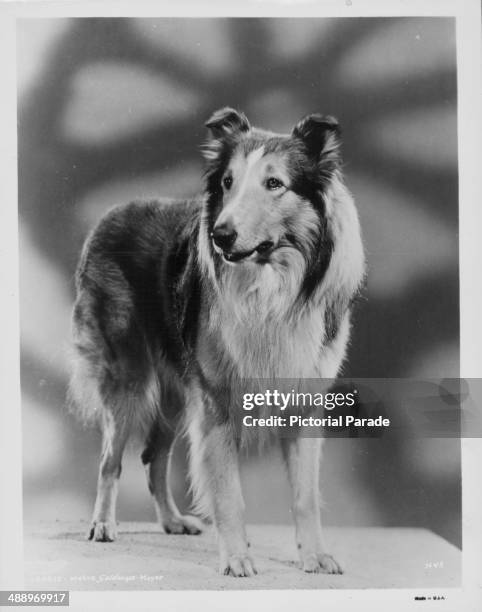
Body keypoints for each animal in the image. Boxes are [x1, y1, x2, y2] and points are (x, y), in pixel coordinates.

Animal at [69, 107, 366, 576]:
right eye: (228, 181)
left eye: (275, 183)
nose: (221, 235)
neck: (272, 288)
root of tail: (112, 213)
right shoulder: (216, 405)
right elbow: (229, 494)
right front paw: (238, 557)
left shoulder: (304, 403)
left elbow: (305, 495)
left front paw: (316, 556)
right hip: (128, 379)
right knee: (110, 460)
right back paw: (102, 524)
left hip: (175, 390)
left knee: (153, 456)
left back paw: (173, 521)